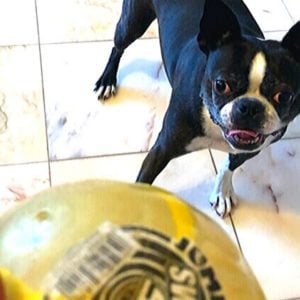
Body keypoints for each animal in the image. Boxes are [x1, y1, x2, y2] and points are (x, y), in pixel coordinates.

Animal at [94, 0, 300, 217]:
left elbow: (230, 165)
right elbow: (144, 181)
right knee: (119, 46)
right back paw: (107, 80)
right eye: (221, 85)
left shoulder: (253, 148)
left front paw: (222, 191)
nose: (250, 107)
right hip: (133, 23)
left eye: (284, 96)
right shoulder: (162, 148)